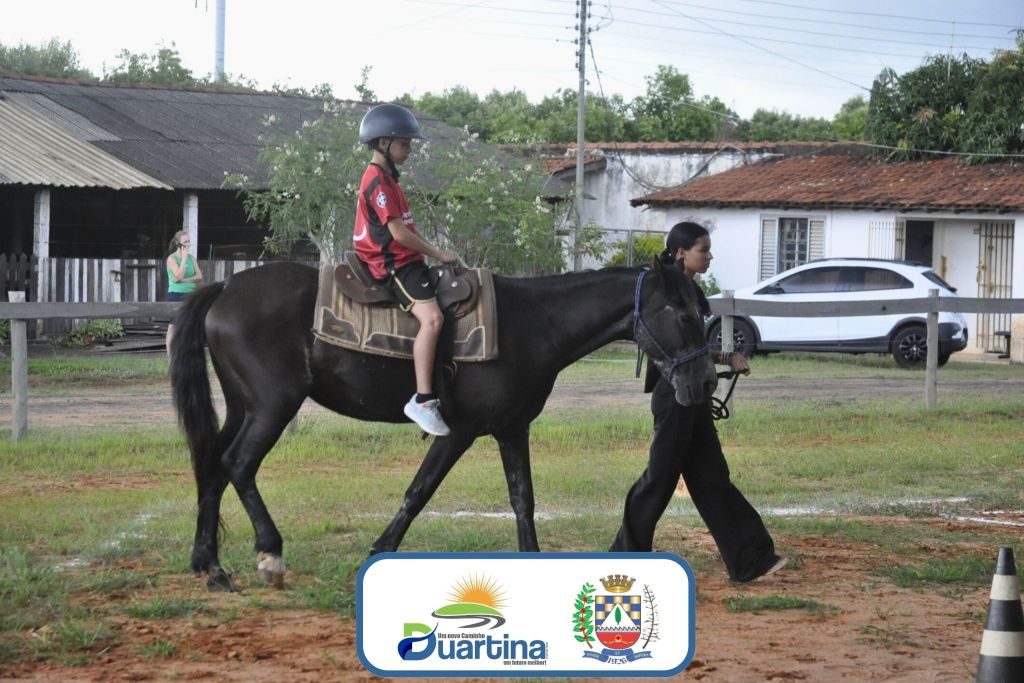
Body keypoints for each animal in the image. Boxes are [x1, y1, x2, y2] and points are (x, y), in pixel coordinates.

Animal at [170, 258, 717, 590]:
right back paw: (269, 554)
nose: (706, 382)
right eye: (685, 316)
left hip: (243, 407)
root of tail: (225, 286)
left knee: (212, 466)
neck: (532, 323)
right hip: (272, 407)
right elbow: (419, 492)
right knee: (238, 464)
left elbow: (523, 499)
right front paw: (380, 549)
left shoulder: (511, 429)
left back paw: (210, 565)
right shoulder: (459, 432)